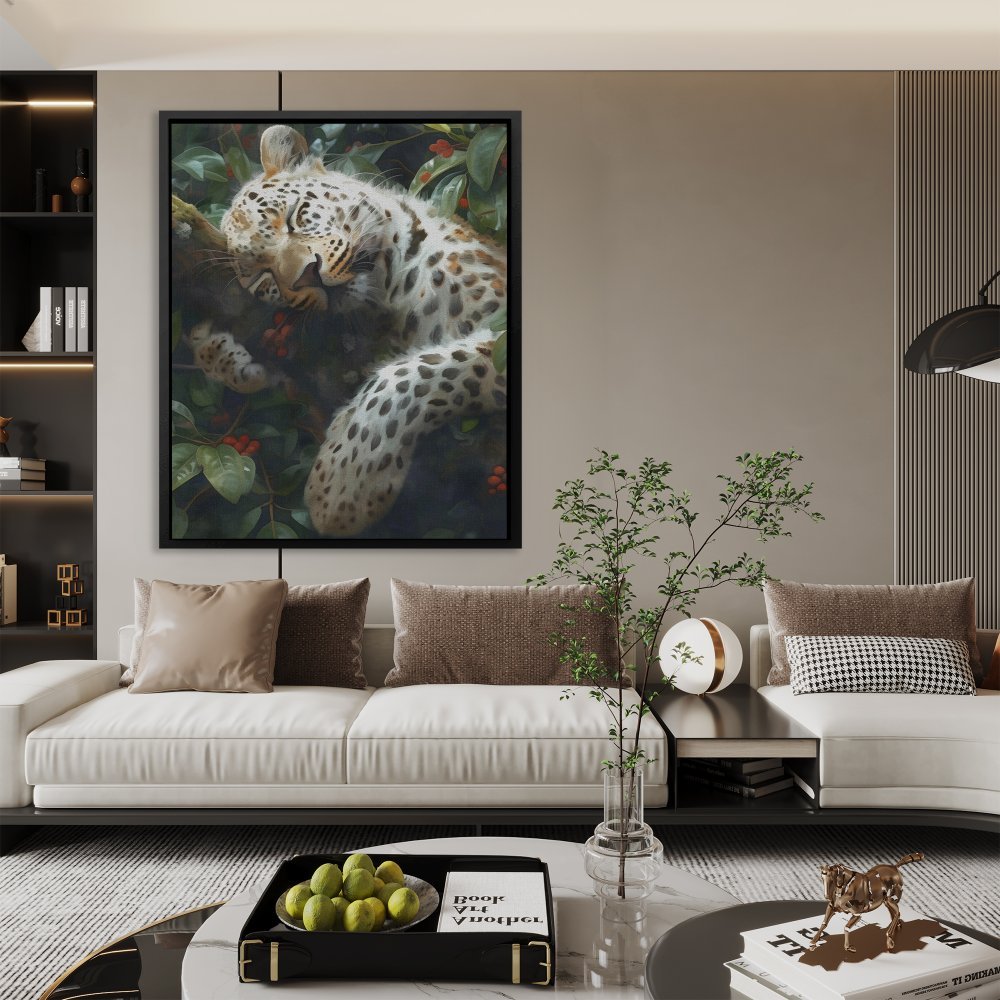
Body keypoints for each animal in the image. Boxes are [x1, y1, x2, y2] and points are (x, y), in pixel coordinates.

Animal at [196, 124, 509, 537]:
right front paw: (220, 351)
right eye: (262, 277)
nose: (307, 276)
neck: (391, 298)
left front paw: (344, 484)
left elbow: (424, 370)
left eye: (294, 217)